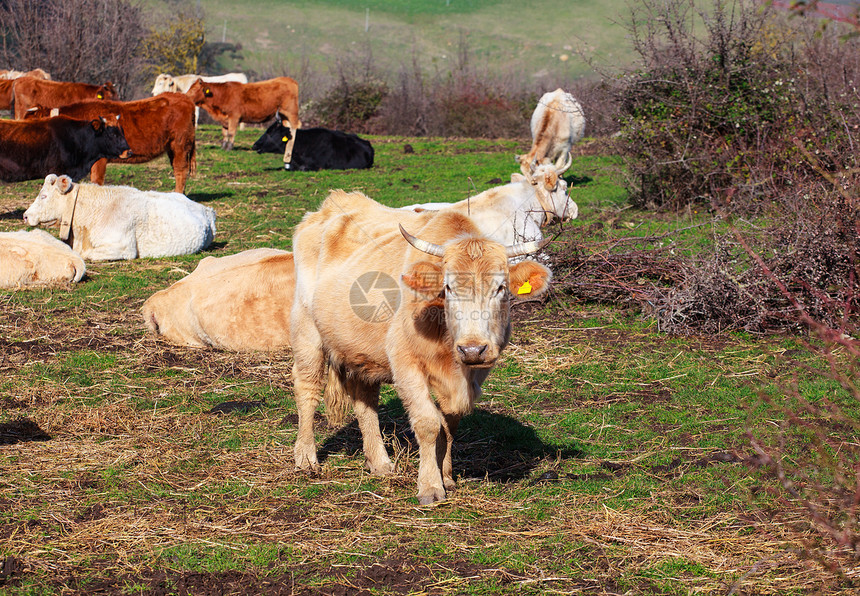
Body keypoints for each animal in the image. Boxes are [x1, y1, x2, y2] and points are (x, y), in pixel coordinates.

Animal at [26, 92, 197, 193]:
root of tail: (184, 98)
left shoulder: (100, 160)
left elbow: (97, 181)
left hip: (180, 144)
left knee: (180, 171)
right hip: (172, 148)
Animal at [290, 190, 552, 502]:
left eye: (500, 287)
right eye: (448, 287)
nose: (472, 349)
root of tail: (331, 204)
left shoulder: (475, 372)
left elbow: (449, 425)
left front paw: (447, 476)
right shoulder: (406, 364)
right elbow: (428, 423)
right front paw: (430, 486)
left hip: (360, 348)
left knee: (365, 402)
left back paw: (379, 462)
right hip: (307, 331)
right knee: (307, 389)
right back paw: (306, 458)